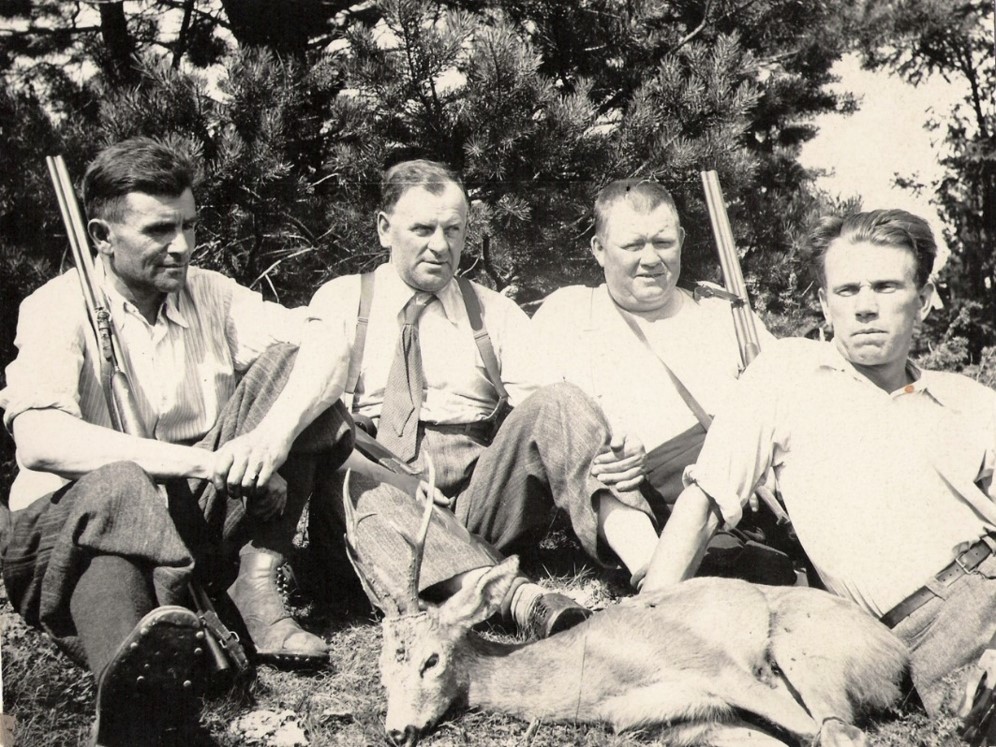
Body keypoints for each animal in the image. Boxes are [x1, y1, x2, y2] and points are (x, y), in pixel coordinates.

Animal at [344, 464, 912, 744]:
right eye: (382, 671)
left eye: (431, 659)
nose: (396, 731)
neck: (593, 671)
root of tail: (898, 659)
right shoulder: (684, 723)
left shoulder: (717, 666)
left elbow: (824, 734)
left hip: (803, 650)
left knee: (842, 729)